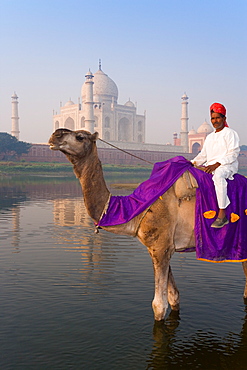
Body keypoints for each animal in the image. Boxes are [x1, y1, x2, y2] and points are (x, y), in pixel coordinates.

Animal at [48, 129, 247, 320]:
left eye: (80, 137)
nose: (55, 135)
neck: (135, 208)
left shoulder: (160, 247)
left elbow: (159, 305)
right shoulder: (161, 248)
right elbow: (174, 296)